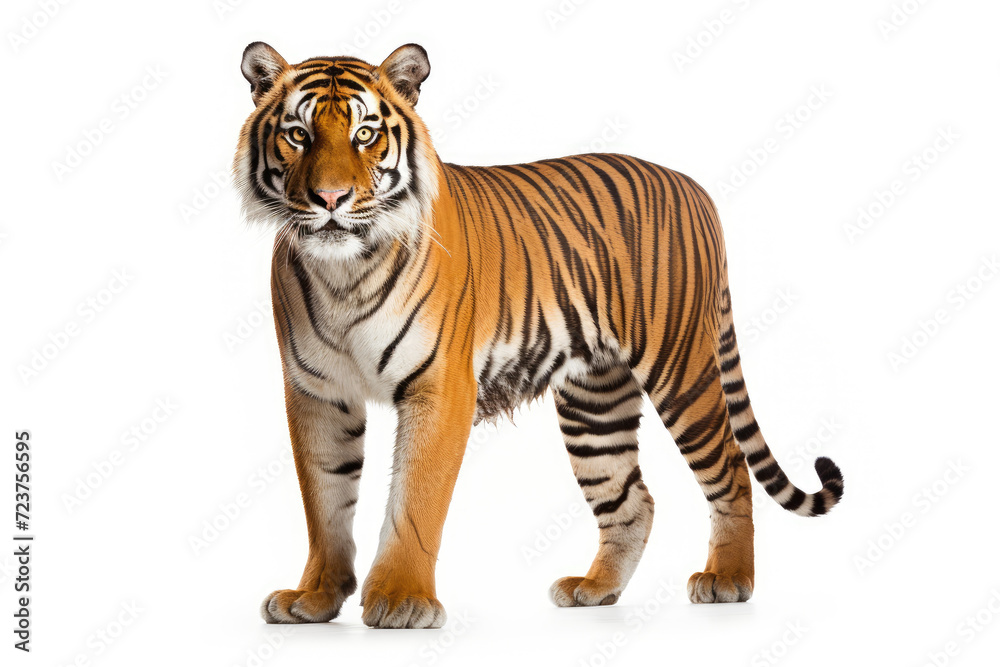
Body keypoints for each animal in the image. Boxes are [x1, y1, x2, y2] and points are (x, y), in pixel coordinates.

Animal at [233, 41, 844, 629]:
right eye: (298, 134)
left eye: (365, 134)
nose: (329, 199)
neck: (343, 273)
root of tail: (694, 187)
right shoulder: (317, 393)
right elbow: (325, 501)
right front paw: (315, 597)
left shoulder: (439, 388)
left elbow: (415, 499)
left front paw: (403, 600)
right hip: (595, 401)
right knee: (632, 499)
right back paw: (595, 589)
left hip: (681, 368)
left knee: (732, 469)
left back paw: (729, 579)